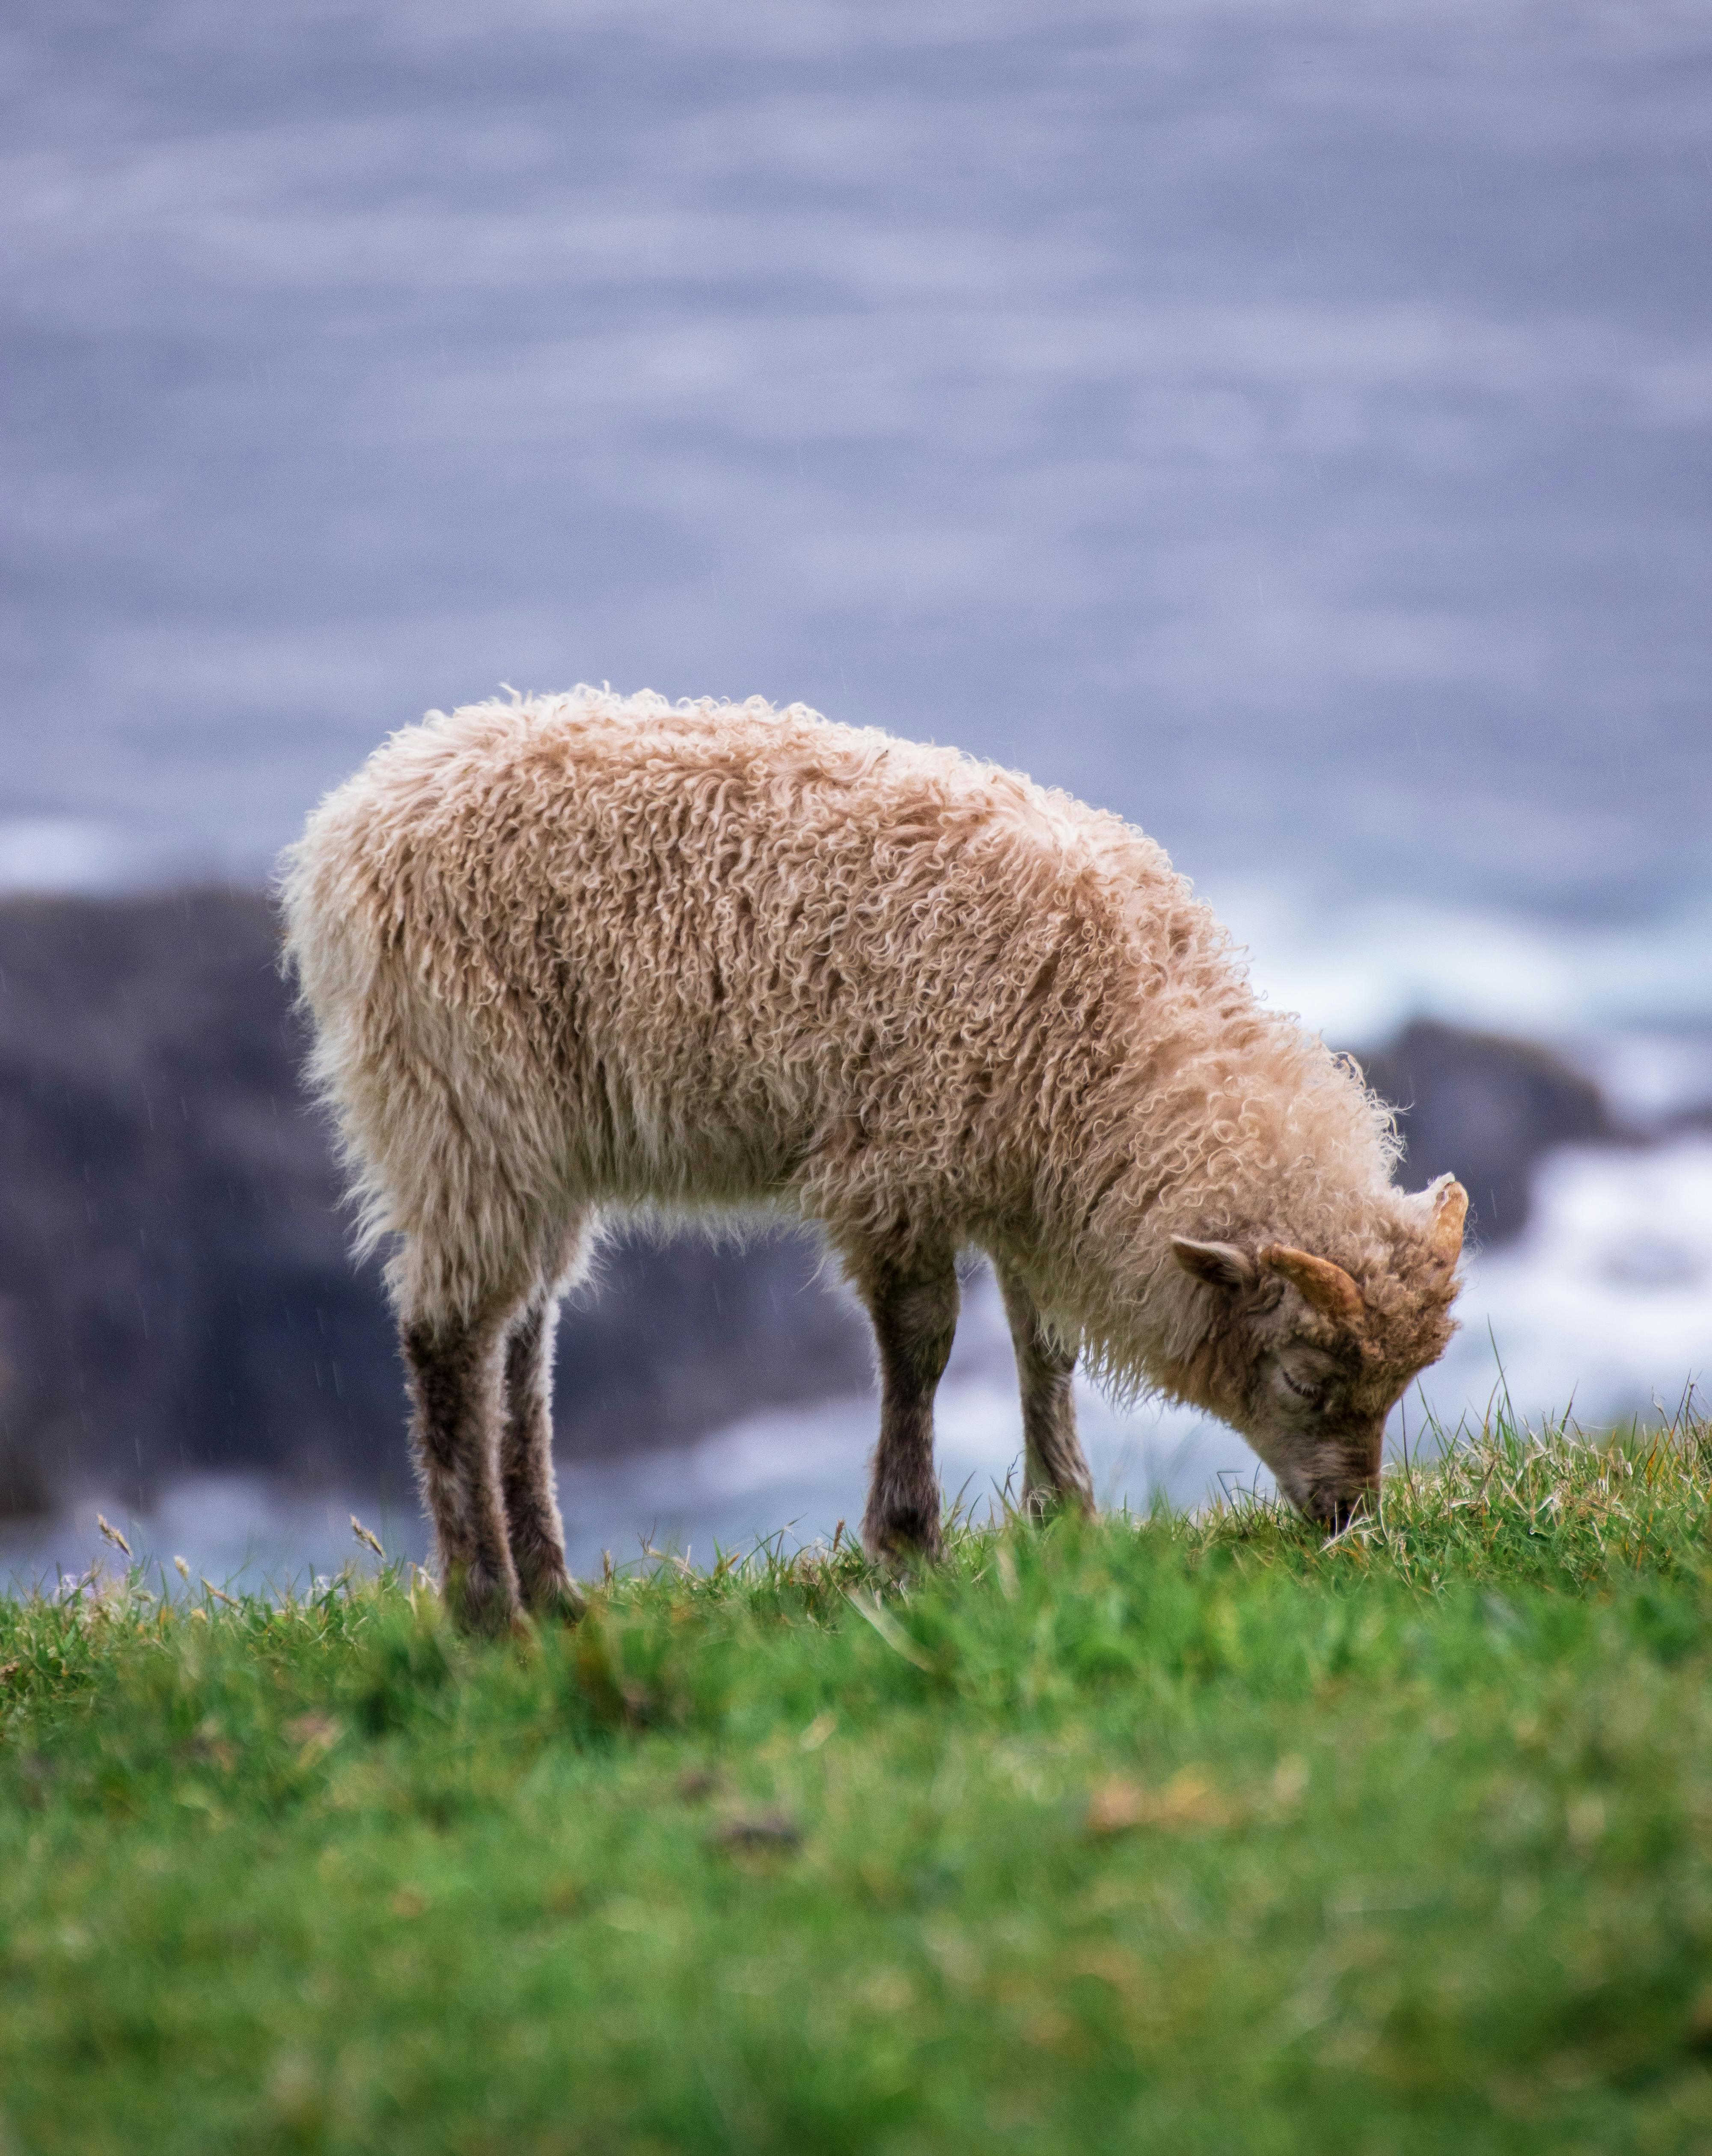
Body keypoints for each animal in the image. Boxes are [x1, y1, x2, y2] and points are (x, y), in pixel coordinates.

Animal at [280, 686, 1467, 1631]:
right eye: (1306, 1376)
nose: (1347, 1520)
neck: (1116, 1038)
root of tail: (357, 817)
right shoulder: (900, 1162)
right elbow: (924, 1346)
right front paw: (908, 1541)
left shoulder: (1023, 1175)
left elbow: (1043, 1344)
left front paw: (1062, 1517)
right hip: (462, 1107)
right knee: (447, 1338)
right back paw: (485, 1609)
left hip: (537, 1143)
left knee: (522, 1336)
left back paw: (553, 1585)